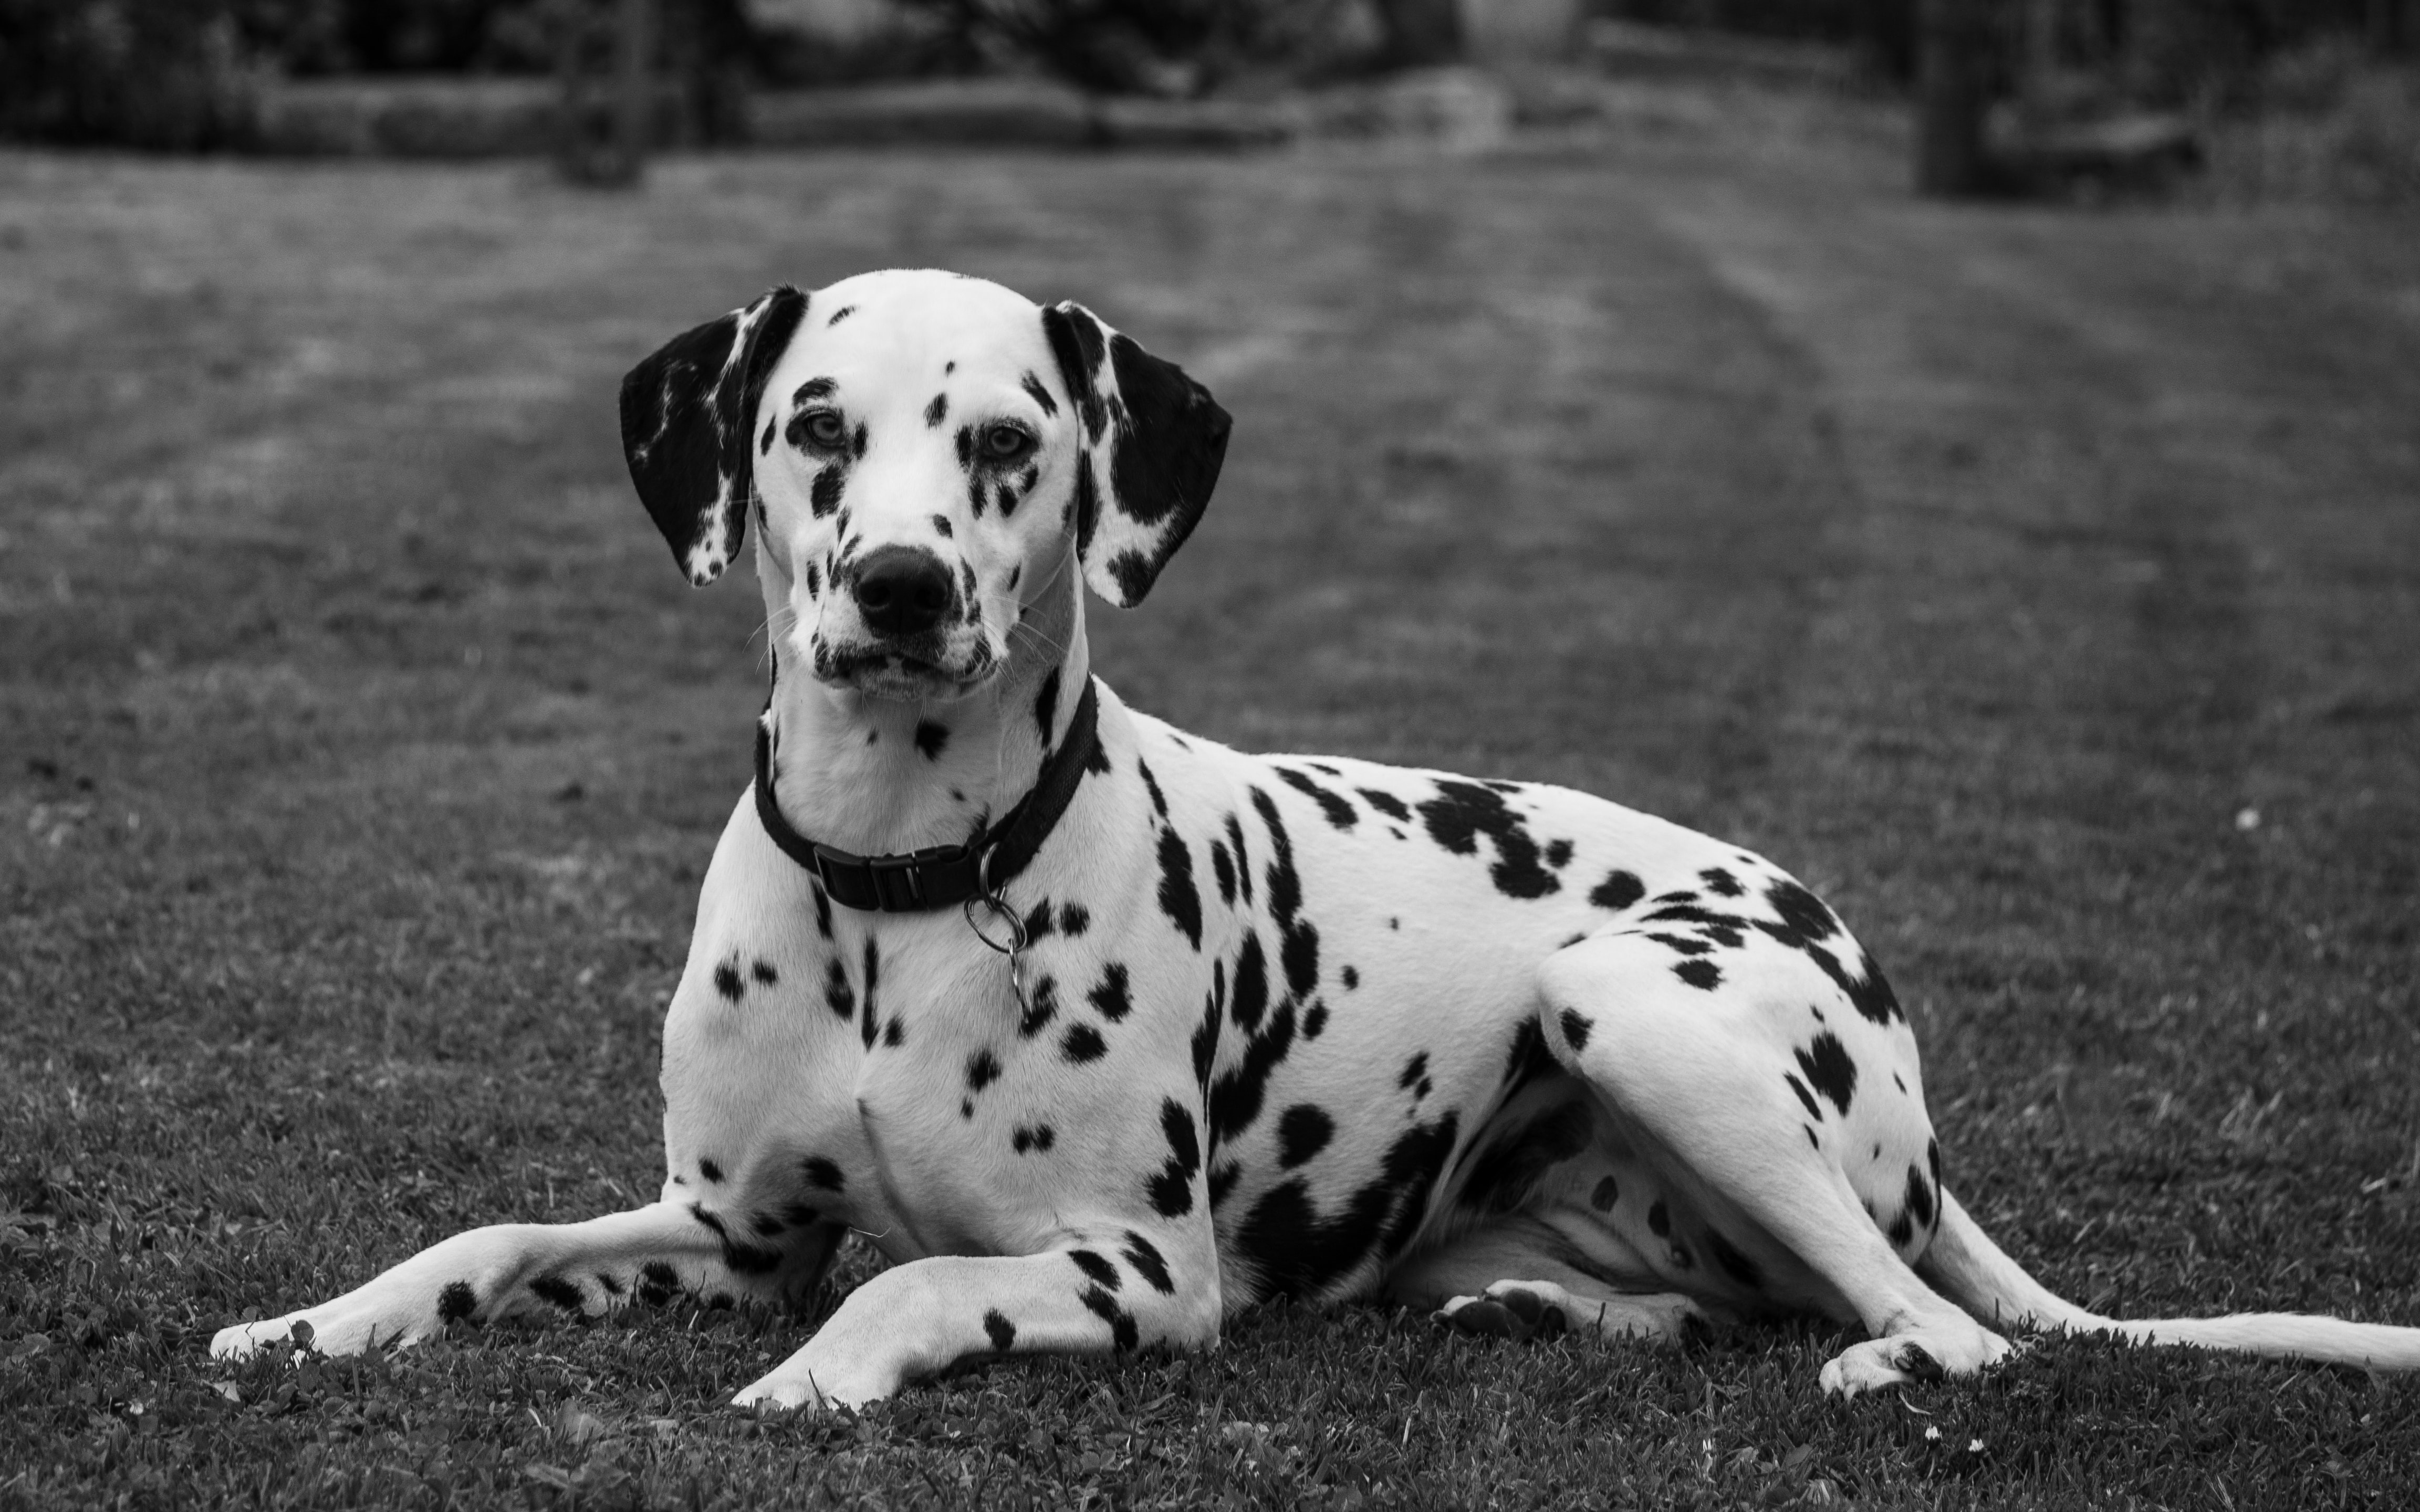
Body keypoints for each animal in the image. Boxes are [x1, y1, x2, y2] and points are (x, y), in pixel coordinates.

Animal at [213, 268, 2420, 1403]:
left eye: (1006, 443)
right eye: (815, 430)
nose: (903, 588)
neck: (896, 891)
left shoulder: (1129, 1269)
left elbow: (904, 1290)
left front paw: (824, 1380)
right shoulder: (723, 1233)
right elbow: (495, 1240)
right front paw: (321, 1316)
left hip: (1651, 1012)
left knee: (1938, 1326)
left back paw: (1887, 1362)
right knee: (1736, 1299)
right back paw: (1550, 1305)